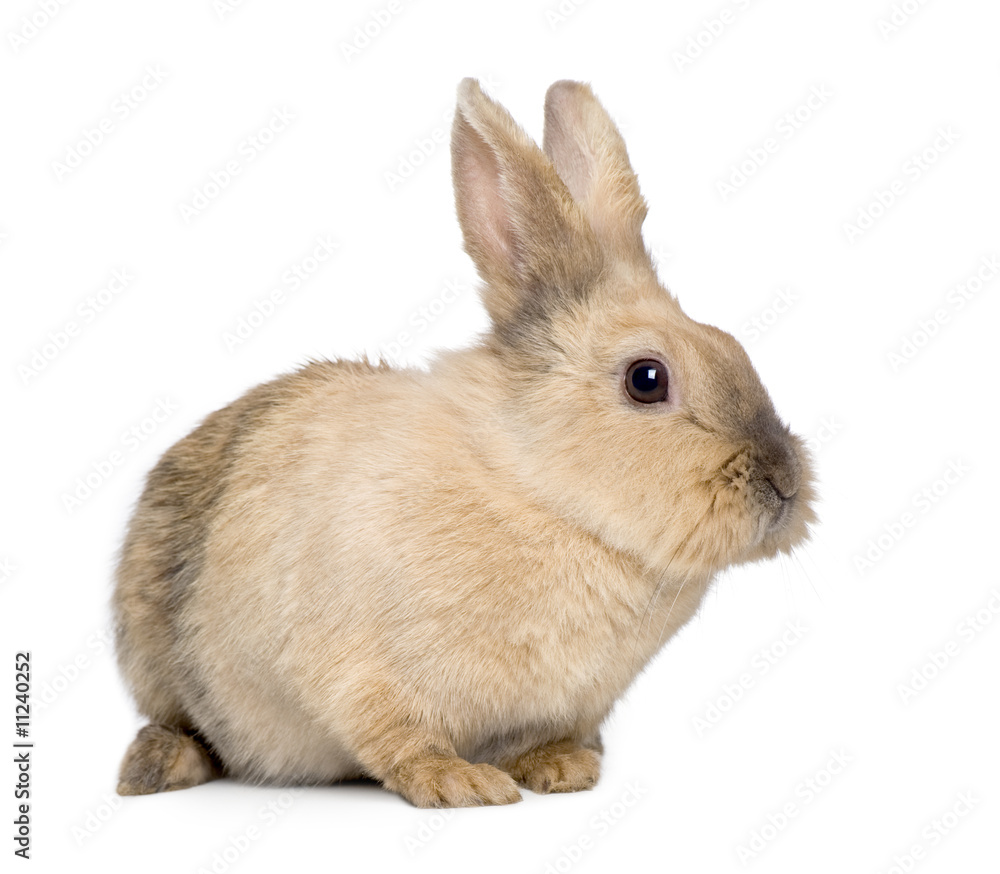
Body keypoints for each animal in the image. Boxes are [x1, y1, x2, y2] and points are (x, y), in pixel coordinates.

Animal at [113, 78, 815, 808]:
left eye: (733, 345)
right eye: (647, 379)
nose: (785, 482)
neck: (538, 493)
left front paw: (563, 770)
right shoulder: (350, 670)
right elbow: (398, 737)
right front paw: (459, 783)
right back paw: (157, 767)